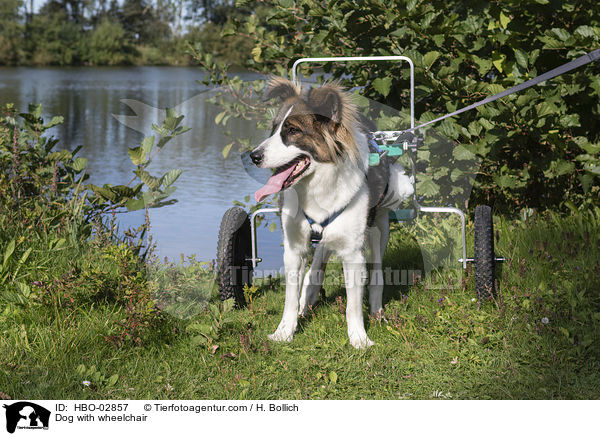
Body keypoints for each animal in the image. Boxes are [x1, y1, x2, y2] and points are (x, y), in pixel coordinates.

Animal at [248, 76, 412, 348]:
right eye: (273, 129)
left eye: (292, 131)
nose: (253, 156)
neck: (316, 189)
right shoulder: (294, 249)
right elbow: (290, 298)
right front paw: (284, 332)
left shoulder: (354, 254)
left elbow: (353, 304)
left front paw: (359, 338)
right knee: (317, 263)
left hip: (379, 229)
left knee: (377, 275)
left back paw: (377, 313)